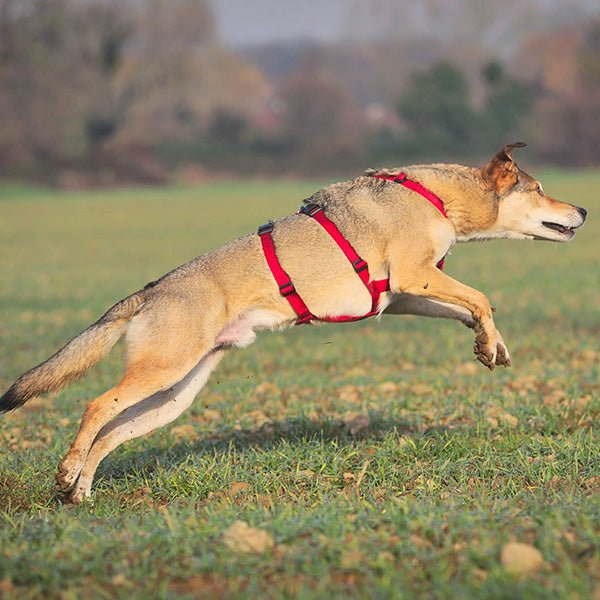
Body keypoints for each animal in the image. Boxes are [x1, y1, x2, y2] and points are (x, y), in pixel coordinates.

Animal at [0, 142, 584, 502]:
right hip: (163, 369)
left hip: (174, 393)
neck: (438, 197)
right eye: (538, 190)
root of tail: (151, 291)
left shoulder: (401, 295)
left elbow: (475, 307)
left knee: (112, 433)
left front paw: (489, 344)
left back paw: (78, 489)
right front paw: (489, 343)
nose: (581, 211)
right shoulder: (414, 276)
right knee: (96, 407)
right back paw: (67, 472)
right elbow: (481, 296)